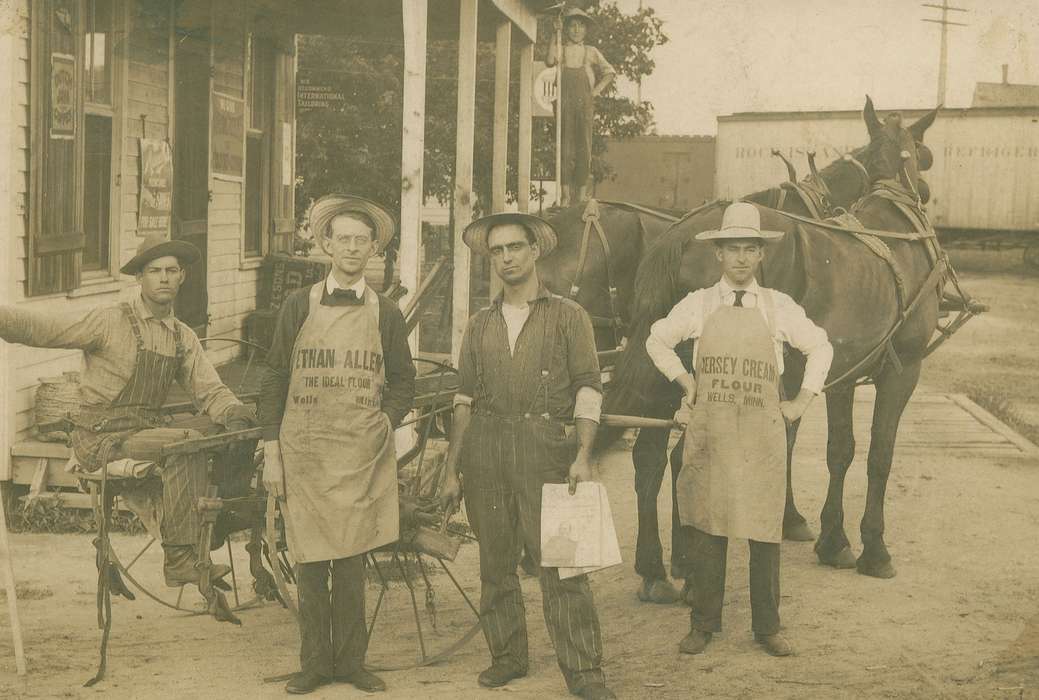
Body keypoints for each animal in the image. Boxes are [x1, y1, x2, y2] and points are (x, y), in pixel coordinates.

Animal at [606, 98, 960, 577]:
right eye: (924, 155)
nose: (923, 189)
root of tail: (680, 235)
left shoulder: (842, 372)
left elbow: (839, 449)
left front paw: (832, 538)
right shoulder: (902, 370)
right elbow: (878, 455)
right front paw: (873, 547)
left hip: (664, 366)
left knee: (649, 457)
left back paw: (656, 571)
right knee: (684, 455)